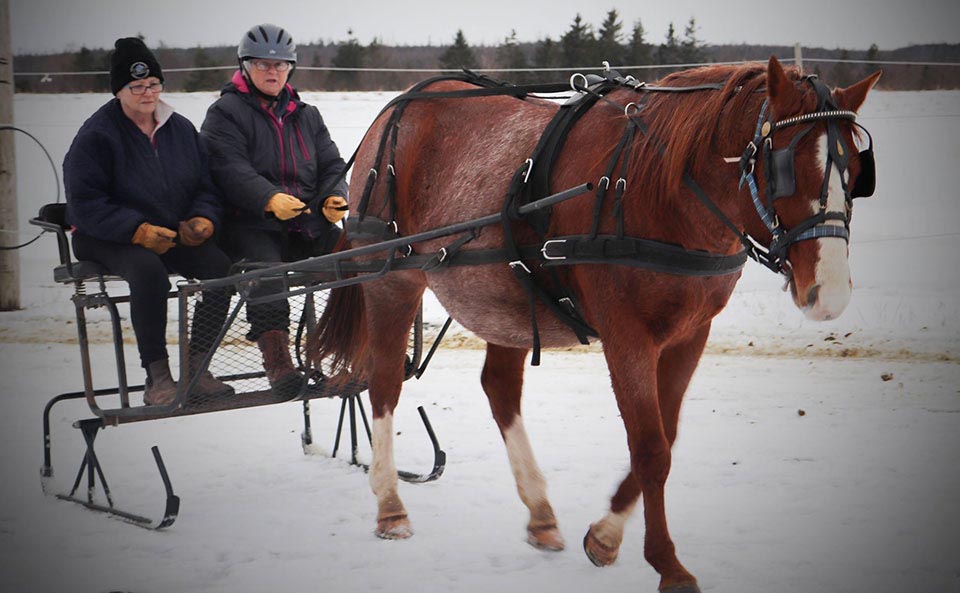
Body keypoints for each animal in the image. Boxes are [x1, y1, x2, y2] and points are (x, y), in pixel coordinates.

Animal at [312, 56, 880, 592]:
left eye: (856, 171)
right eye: (784, 168)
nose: (829, 294)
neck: (657, 187)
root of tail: (399, 105)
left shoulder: (690, 334)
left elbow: (667, 435)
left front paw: (605, 537)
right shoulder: (627, 335)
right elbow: (650, 448)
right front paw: (667, 564)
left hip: (508, 299)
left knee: (499, 388)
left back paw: (540, 514)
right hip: (391, 277)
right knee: (385, 382)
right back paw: (391, 505)